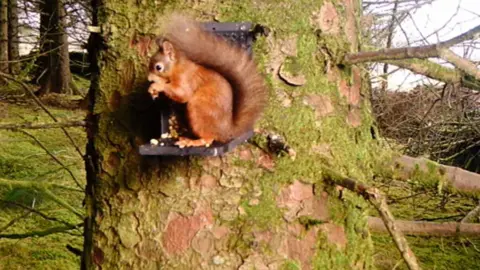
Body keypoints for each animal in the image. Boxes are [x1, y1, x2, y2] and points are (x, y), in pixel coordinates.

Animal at [147, 14, 266, 149]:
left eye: (158, 67)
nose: (149, 78)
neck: (177, 66)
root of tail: (227, 131)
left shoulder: (185, 77)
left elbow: (182, 94)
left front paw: (155, 84)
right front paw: (153, 91)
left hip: (200, 109)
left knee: (208, 139)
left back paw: (190, 141)